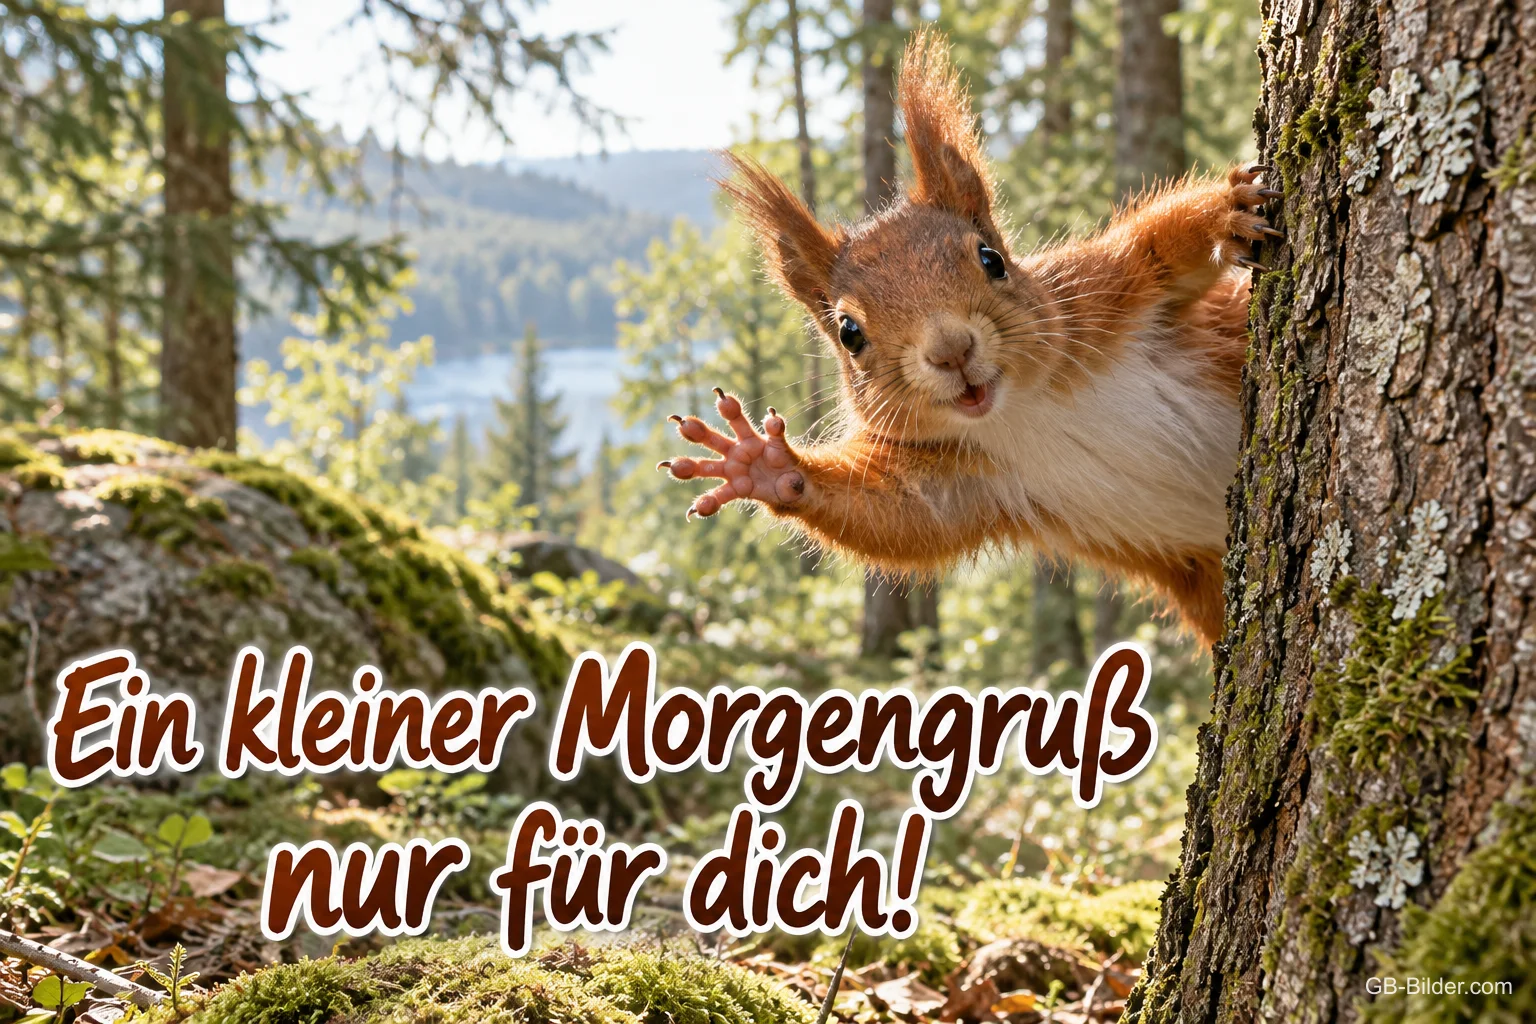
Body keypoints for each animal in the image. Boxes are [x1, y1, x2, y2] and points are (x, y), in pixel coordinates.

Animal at [661, 30, 1279, 645]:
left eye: (992, 260)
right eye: (848, 332)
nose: (951, 351)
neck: (1022, 409)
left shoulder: (1099, 296)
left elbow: (1158, 251)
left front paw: (1227, 213)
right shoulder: (963, 478)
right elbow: (902, 517)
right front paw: (762, 465)